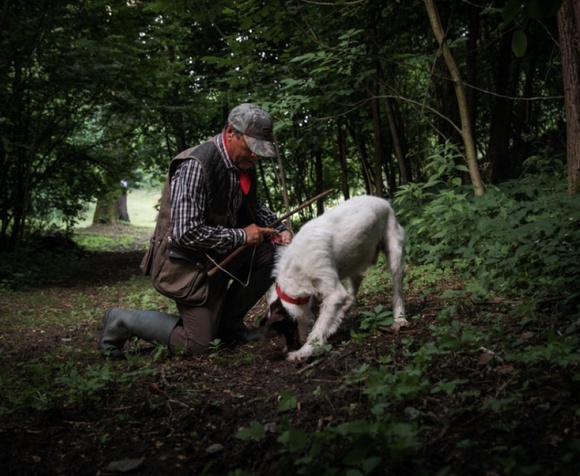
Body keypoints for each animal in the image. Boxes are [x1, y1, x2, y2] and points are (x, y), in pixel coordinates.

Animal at [260, 194, 406, 360]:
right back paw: (345, 308)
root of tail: (383, 201)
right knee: (356, 281)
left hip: (394, 253)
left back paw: (400, 319)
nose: (290, 347)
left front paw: (305, 351)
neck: (295, 268)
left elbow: (320, 326)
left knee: (397, 288)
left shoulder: (333, 292)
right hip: (352, 259)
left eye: (287, 327)